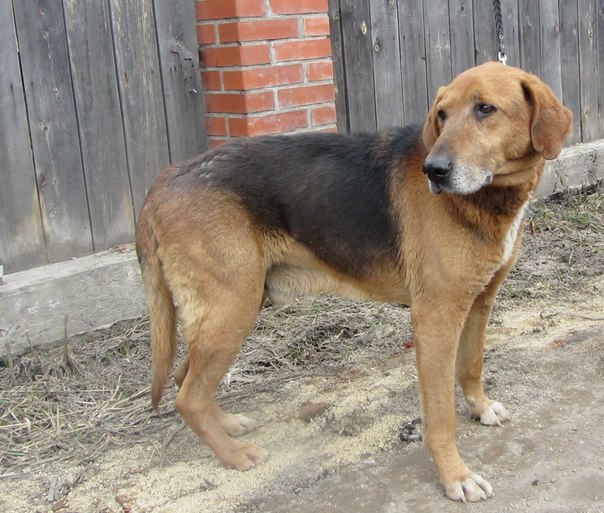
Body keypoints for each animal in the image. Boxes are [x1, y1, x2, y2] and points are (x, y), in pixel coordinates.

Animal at [136, 62, 572, 502]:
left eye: (485, 109)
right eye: (442, 115)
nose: (433, 171)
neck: (490, 197)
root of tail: (165, 179)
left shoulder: (479, 301)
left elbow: (472, 365)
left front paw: (480, 408)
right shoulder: (435, 319)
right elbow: (440, 416)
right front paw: (455, 475)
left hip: (233, 308)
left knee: (184, 378)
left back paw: (225, 426)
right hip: (232, 308)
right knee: (188, 396)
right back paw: (233, 454)